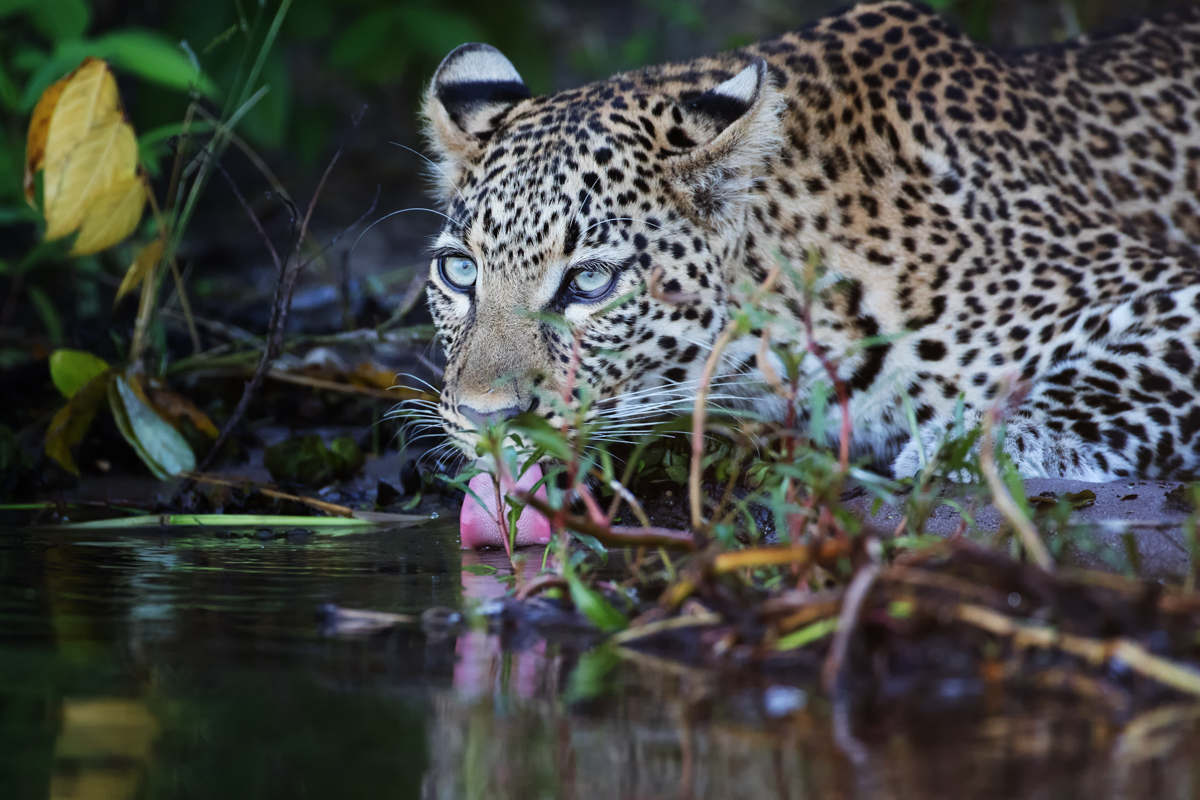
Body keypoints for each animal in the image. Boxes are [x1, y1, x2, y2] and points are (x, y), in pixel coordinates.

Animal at [417, 0, 1200, 482]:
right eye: (460, 272)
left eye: (588, 282)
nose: (486, 421)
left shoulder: (1167, 293)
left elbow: (1099, 380)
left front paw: (973, 443)